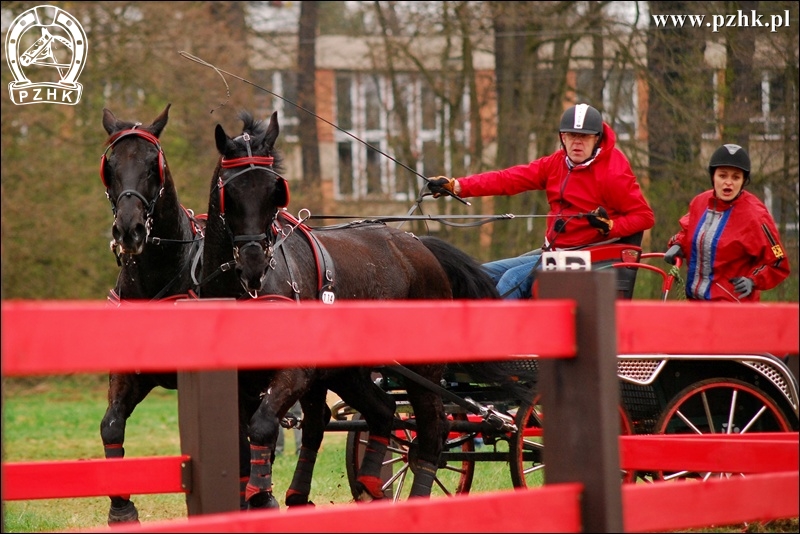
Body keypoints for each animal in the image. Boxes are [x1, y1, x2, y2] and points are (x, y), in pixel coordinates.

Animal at [98, 103, 205, 524]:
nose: (129, 230)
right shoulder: (130, 372)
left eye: (151, 165)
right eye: (110, 165)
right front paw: (121, 508)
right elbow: (111, 426)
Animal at [198, 110, 506, 510]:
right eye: (230, 192)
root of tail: (418, 243)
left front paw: (263, 497)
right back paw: (370, 483)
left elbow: (263, 426)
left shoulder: (297, 370)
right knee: (383, 411)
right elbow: (238, 442)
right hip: (348, 371)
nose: (253, 263)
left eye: (275, 191)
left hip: (421, 368)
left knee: (433, 429)